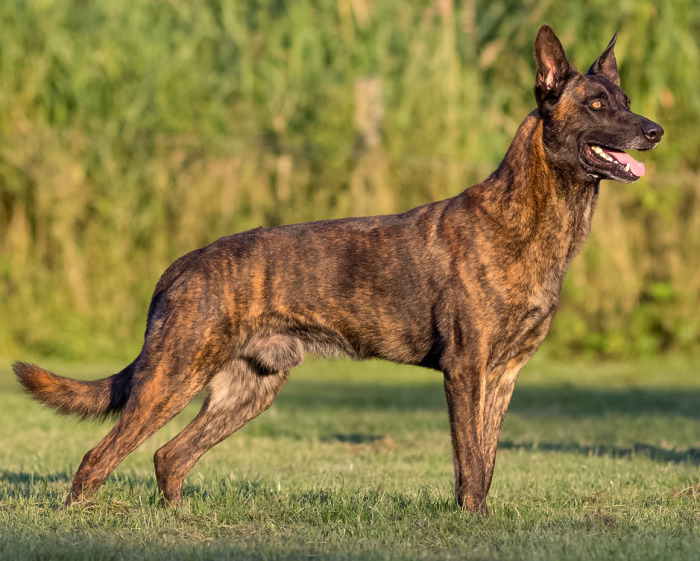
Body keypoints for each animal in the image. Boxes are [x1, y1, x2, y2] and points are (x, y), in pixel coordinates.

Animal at [13, 26, 664, 512]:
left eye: (627, 102)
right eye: (598, 105)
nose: (655, 130)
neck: (530, 222)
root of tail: (177, 270)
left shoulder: (503, 375)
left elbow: (488, 460)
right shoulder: (466, 370)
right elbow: (470, 464)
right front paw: (471, 522)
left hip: (248, 391)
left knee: (167, 457)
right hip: (170, 379)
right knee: (98, 459)